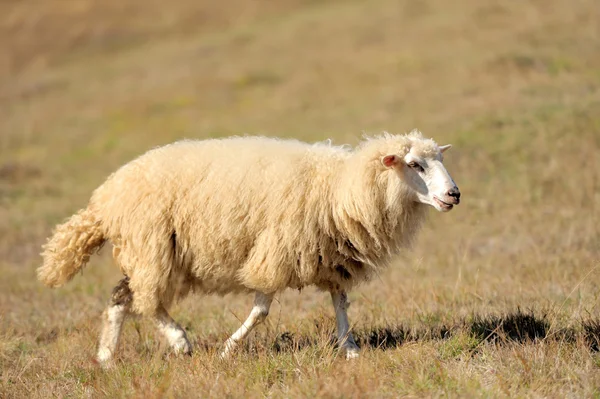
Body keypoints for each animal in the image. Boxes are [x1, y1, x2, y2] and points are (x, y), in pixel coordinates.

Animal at [36, 130, 460, 362]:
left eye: (437, 159)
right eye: (415, 165)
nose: (454, 195)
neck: (341, 188)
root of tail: (104, 200)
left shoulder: (331, 257)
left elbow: (340, 303)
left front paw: (351, 348)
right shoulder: (275, 251)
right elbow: (261, 310)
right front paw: (229, 349)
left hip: (147, 253)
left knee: (120, 299)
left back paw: (107, 358)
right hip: (152, 247)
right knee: (146, 301)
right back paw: (180, 341)